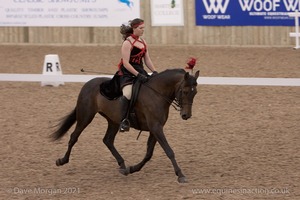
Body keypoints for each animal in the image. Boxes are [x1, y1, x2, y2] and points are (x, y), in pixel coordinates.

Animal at [51, 68, 199, 183]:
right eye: (185, 91)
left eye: (195, 92)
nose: (186, 115)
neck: (157, 93)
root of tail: (88, 83)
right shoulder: (156, 128)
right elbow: (169, 151)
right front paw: (181, 175)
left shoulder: (155, 129)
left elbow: (148, 154)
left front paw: (131, 169)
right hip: (85, 116)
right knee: (74, 136)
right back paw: (62, 160)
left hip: (113, 121)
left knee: (108, 140)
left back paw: (122, 165)